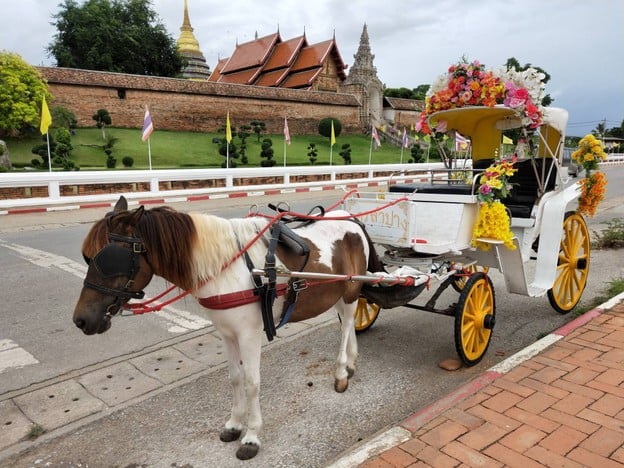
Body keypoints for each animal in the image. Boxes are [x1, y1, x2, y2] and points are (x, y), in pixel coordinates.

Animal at [74, 195, 386, 460]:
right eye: (87, 257)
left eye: (109, 259)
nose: (81, 320)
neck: (228, 269)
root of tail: (353, 221)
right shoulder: (226, 333)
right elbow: (235, 378)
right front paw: (235, 424)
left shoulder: (249, 334)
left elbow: (251, 382)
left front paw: (251, 436)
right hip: (337, 294)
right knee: (349, 323)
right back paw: (351, 363)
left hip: (350, 290)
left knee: (346, 326)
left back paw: (341, 371)